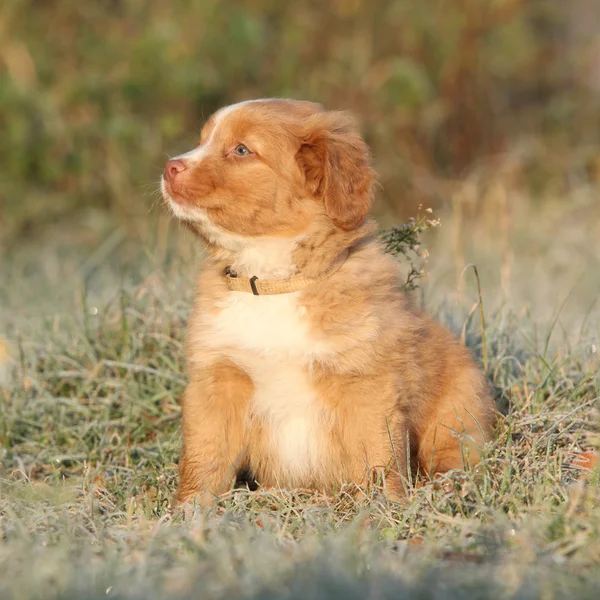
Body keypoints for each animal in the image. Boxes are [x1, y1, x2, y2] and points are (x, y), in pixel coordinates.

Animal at [159, 98, 492, 506]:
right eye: (201, 140)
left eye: (241, 150)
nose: (169, 167)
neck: (273, 281)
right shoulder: (217, 381)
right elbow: (203, 458)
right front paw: (188, 511)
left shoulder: (367, 383)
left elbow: (376, 457)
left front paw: (380, 509)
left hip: (459, 405)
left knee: (452, 455)